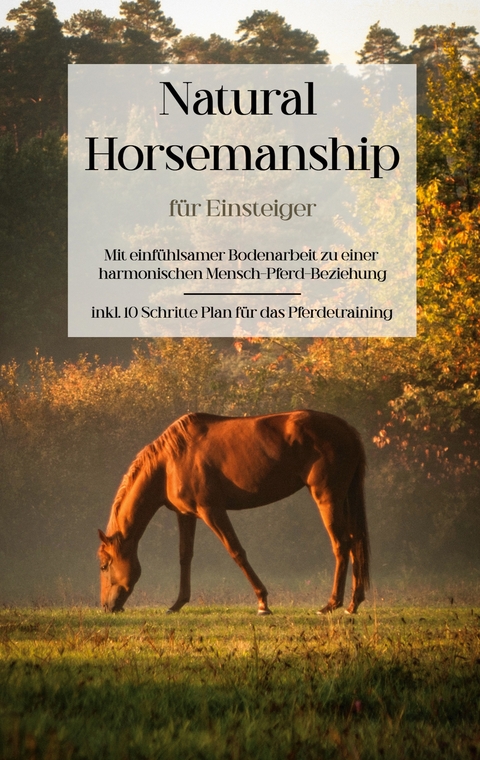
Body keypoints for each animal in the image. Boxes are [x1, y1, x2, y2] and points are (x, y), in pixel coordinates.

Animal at [98, 410, 370, 615]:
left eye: (104, 565)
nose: (107, 607)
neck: (170, 462)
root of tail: (348, 429)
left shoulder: (211, 510)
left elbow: (236, 552)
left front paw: (262, 603)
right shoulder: (186, 515)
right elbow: (185, 556)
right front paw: (177, 604)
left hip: (327, 498)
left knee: (341, 544)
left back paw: (331, 605)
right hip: (344, 498)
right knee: (355, 542)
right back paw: (353, 604)